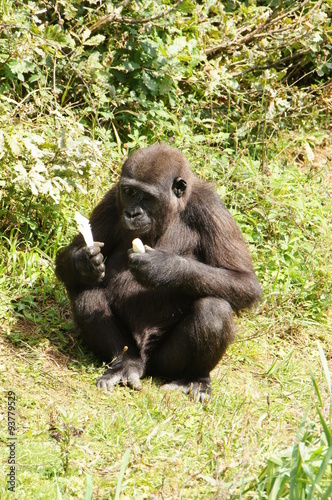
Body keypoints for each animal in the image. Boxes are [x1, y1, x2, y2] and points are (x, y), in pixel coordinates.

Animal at [55, 143, 262, 400]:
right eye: (129, 192)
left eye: (147, 197)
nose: (132, 213)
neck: (176, 208)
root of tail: (146, 361)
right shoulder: (112, 198)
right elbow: (72, 252)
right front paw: (85, 262)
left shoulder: (211, 207)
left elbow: (244, 281)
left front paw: (164, 267)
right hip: (134, 350)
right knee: (87, 295)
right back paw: (125, 363)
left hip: (165, 363)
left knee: (214, 309)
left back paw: (195, 378)